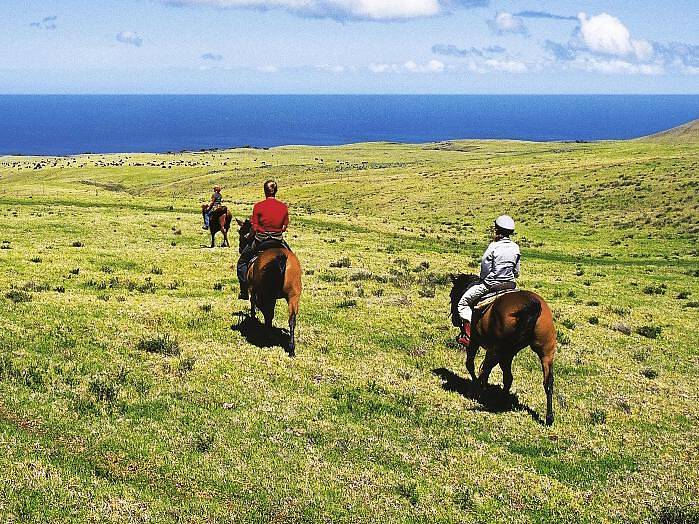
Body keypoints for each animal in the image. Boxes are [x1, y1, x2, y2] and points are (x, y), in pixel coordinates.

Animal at [237, 217, 302, 356]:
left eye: (241, 232)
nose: (240, 248)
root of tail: (282, 259)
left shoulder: (253, 290)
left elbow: (253, 304)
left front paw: (253, 318)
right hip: (293, 295)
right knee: (292, 319)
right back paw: (291, 348)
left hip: (268, 295)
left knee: (268, 314)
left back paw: (269, 335)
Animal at [454, 274, 556, 426]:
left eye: (452, 295)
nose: (455, 320)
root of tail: (533, 306)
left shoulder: (474, 341)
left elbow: (470, 364)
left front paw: (475, 386)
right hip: (545, 351)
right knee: (547, 381)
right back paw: (548, 417)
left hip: (503, 351)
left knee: (493, 372)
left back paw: (488, 396)